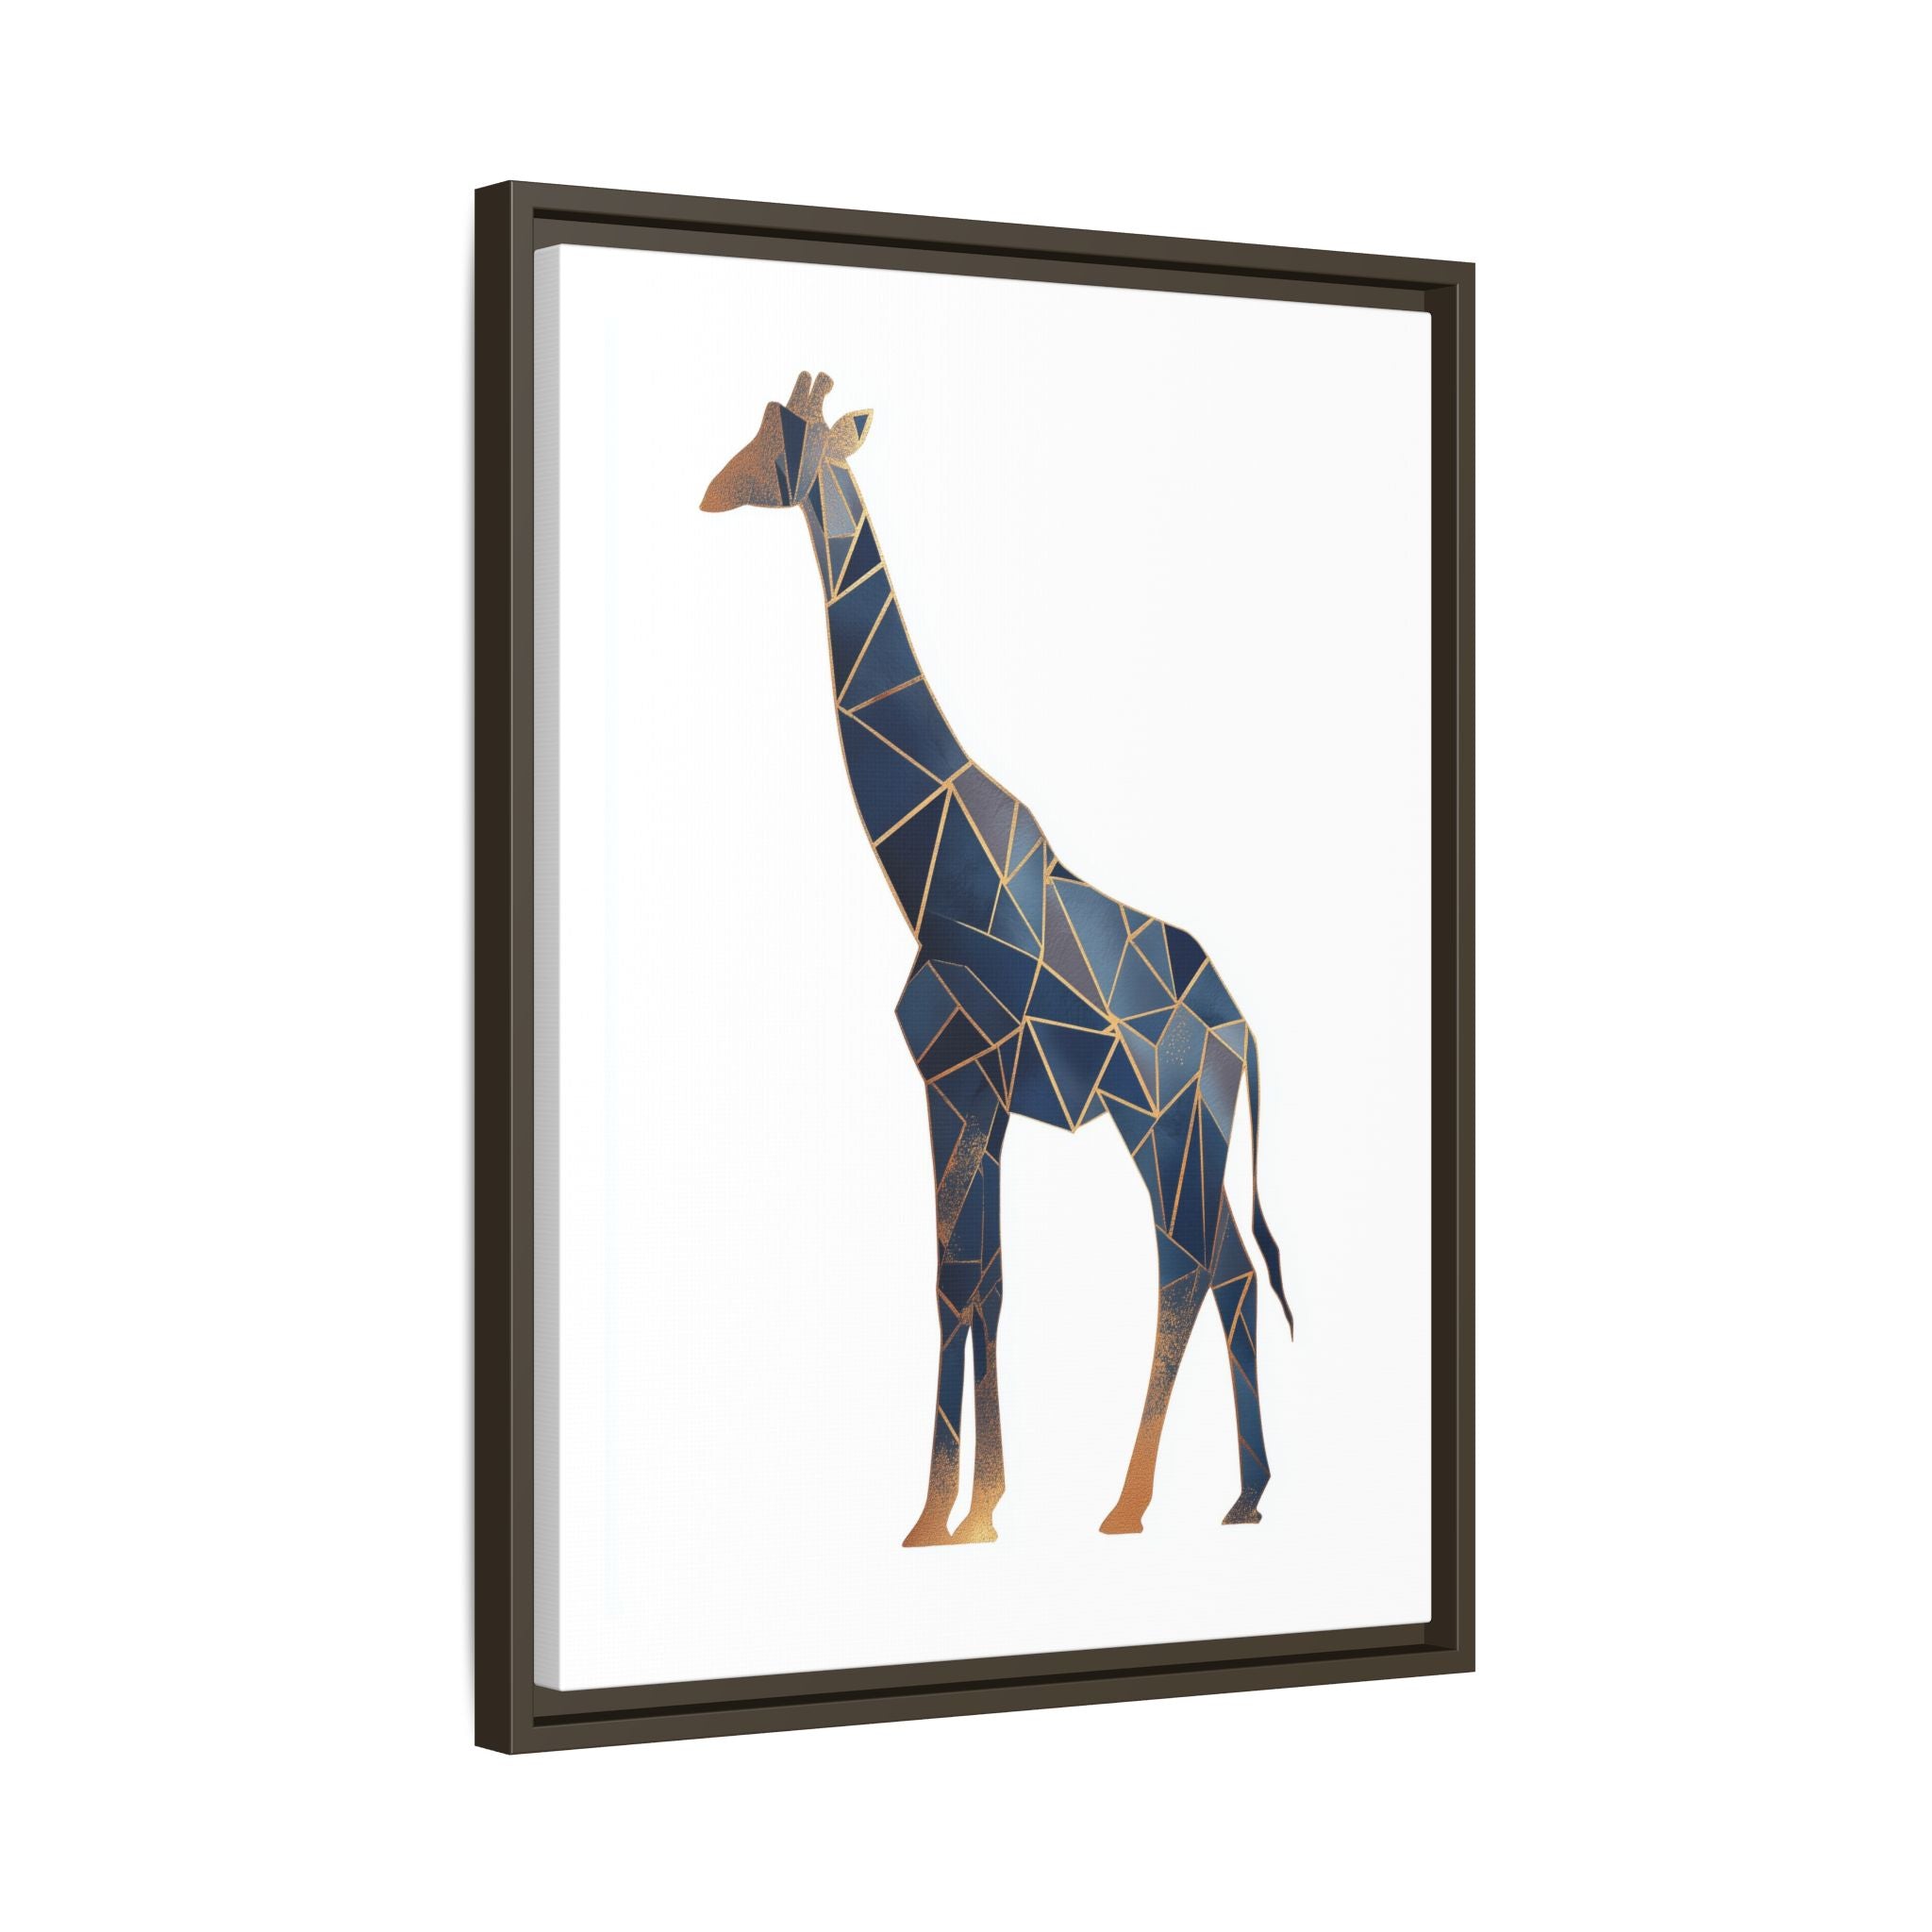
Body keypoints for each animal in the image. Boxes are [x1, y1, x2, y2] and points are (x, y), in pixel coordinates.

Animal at [701, 371, 1294, 1545]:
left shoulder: (955, 1078)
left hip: (1156, 1120)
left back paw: (1130, 1502)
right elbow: (987, 1281)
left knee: (1186, 1265)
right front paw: (979, 1507)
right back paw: (1243, 1495)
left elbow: (953, 1281)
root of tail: (1242, 1031)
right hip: (1192, 1128)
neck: (931, 874)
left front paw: (936, 1515)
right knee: (1233, 1269)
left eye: (781, 441)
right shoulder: (980, 1093)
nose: (710, 490)